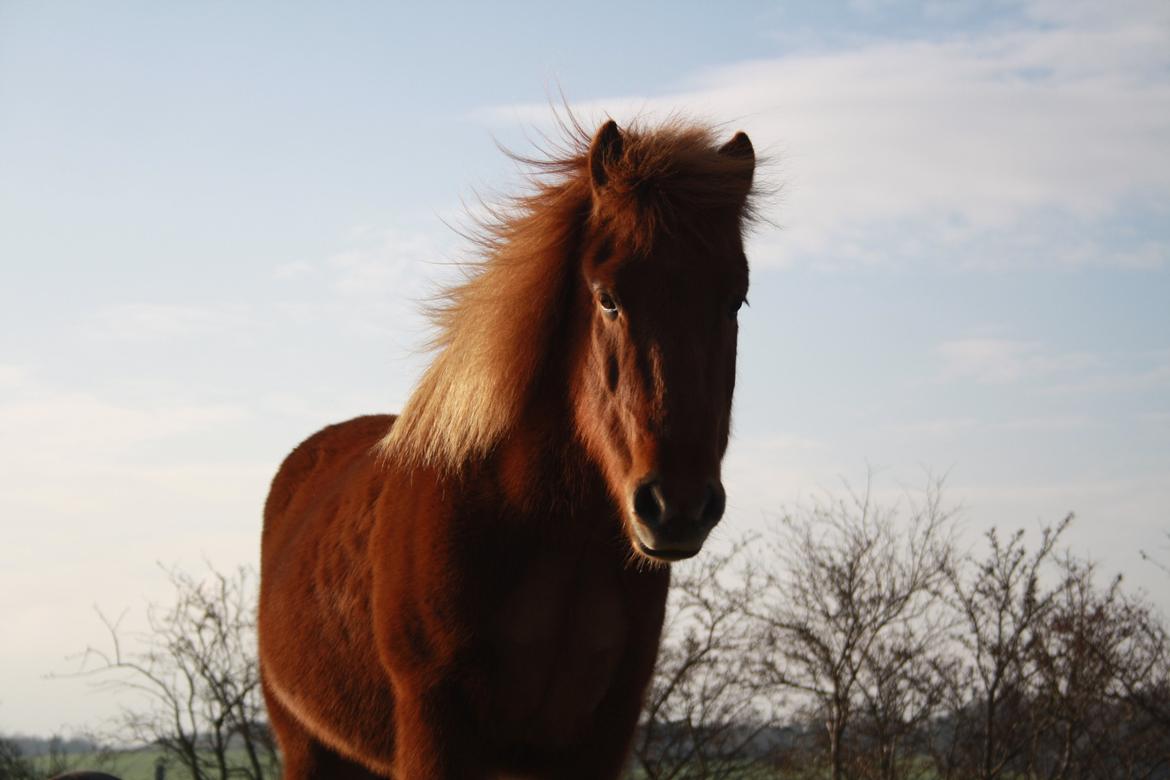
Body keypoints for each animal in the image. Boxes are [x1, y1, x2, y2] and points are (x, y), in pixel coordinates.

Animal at [258, 112, 758, 776]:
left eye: (735, 300)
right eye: (608, 297)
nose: (676, 506)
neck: (547, 531)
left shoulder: (599, 740)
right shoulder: (434, 734)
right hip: (309, 748)